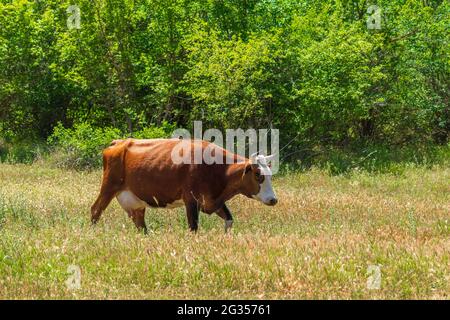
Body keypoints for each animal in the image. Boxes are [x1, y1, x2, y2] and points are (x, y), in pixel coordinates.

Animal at [91, 139, 278, 234]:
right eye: (258, 175)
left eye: (270, 174)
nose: (273, 199)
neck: (218, 169)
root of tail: (119, 143)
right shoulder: (191, 200)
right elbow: (193, 228)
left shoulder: (212, 201)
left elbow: (229, 220)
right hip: (108, 187)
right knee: (96, 210)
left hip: (136, 202)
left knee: (139, 223)